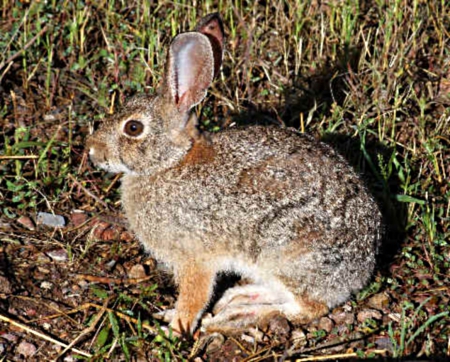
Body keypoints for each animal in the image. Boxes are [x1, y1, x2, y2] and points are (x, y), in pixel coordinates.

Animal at [87, 14, 384, 336]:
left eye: (133, 128)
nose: (92, 150)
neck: (169, 162)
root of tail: (361, 270)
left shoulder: (194, 258)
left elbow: (194, 297)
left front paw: (173, 329)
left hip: (287, 256)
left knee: (308, 308)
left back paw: (236, 317)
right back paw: (237, 297)